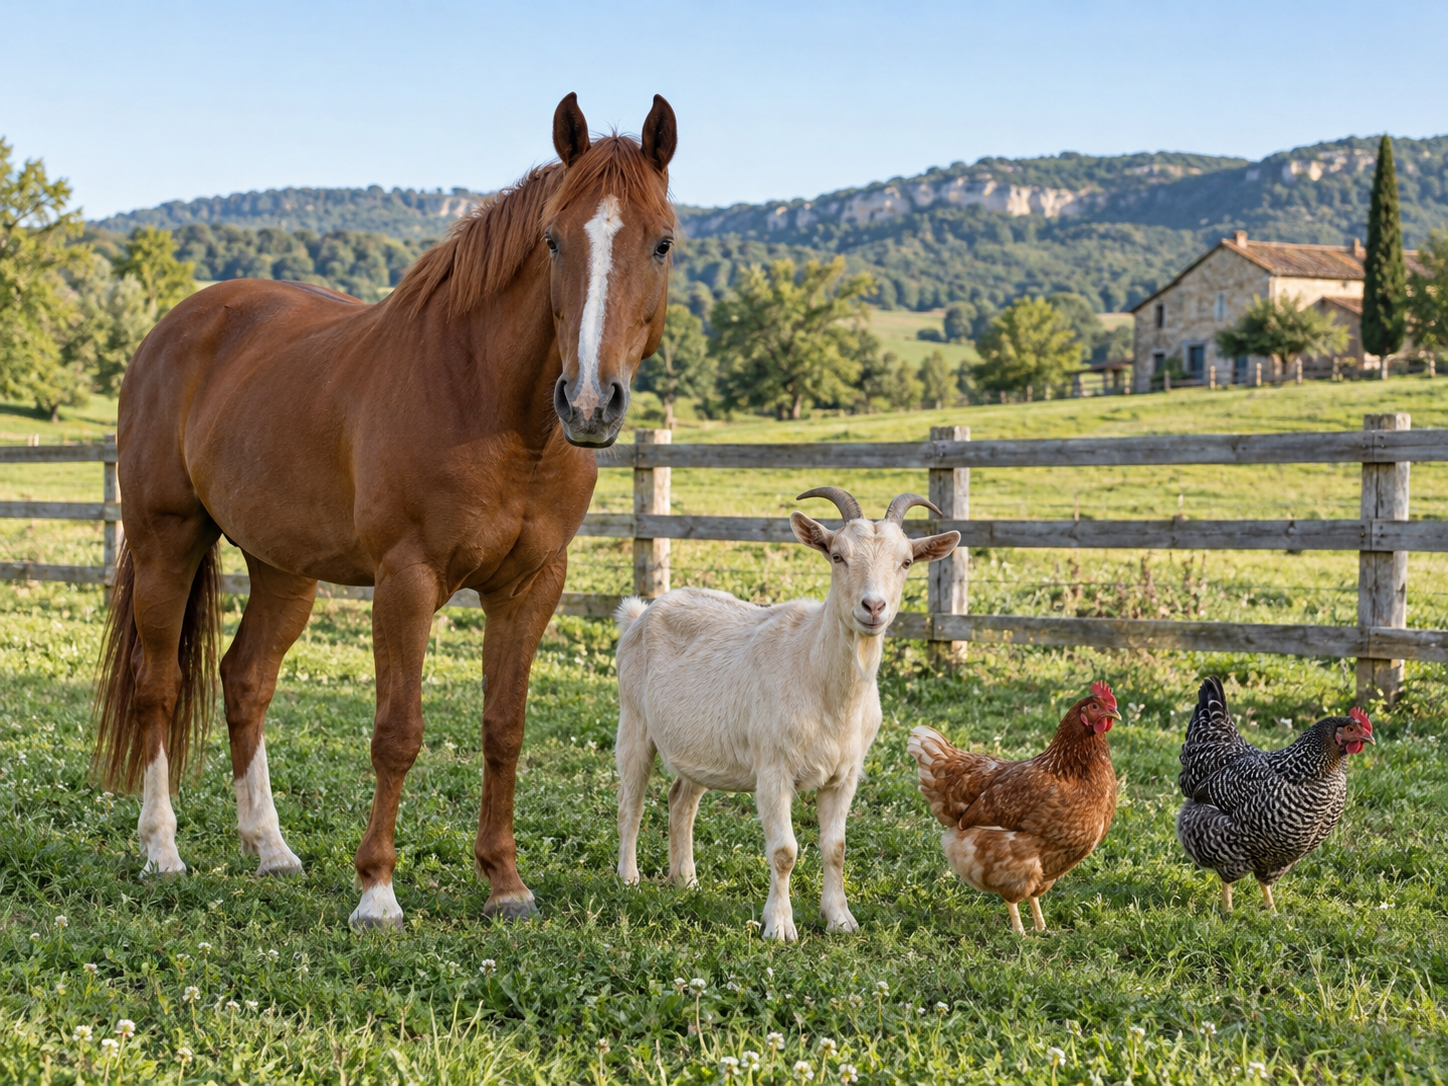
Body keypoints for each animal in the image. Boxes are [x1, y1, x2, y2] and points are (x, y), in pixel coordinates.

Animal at [93, 93, 677, 928]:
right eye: (553, 240)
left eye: (661, 242)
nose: (591, 402)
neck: (490, 406)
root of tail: (173, 328)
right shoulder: (408, 581)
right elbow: (398, 733)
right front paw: (376, 892)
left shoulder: (531, 587)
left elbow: (505, 729)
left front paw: (505, 882)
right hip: (165, 542)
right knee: (160, 686)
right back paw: (162, 850)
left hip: (283, 568)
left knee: (246, 679)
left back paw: (270, 848)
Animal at [613, 487, 960, 940]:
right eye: (837, 556)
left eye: (905, 562)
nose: (873, 606)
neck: (820, 681)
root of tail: (639, 615)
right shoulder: (773, 770)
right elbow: (784, 851)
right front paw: (778, 926)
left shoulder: (844, 775)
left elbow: (836, 848)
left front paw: (840, 919)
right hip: (633, 721)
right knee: (631, 802)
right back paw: (628, 878)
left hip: (700, 746)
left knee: (680, 800)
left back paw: (685, 880)